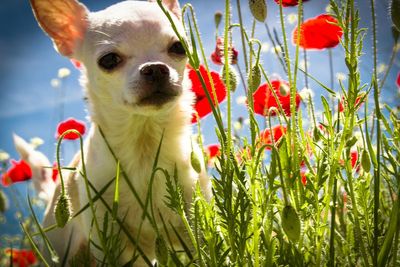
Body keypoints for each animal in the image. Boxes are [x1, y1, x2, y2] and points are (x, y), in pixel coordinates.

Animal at [17, 0, 211, 266]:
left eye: (179, 47)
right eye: (109, 60)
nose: (155, 69)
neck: (144, 145)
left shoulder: (194, 219)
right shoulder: (112, 239)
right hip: (61, 248)